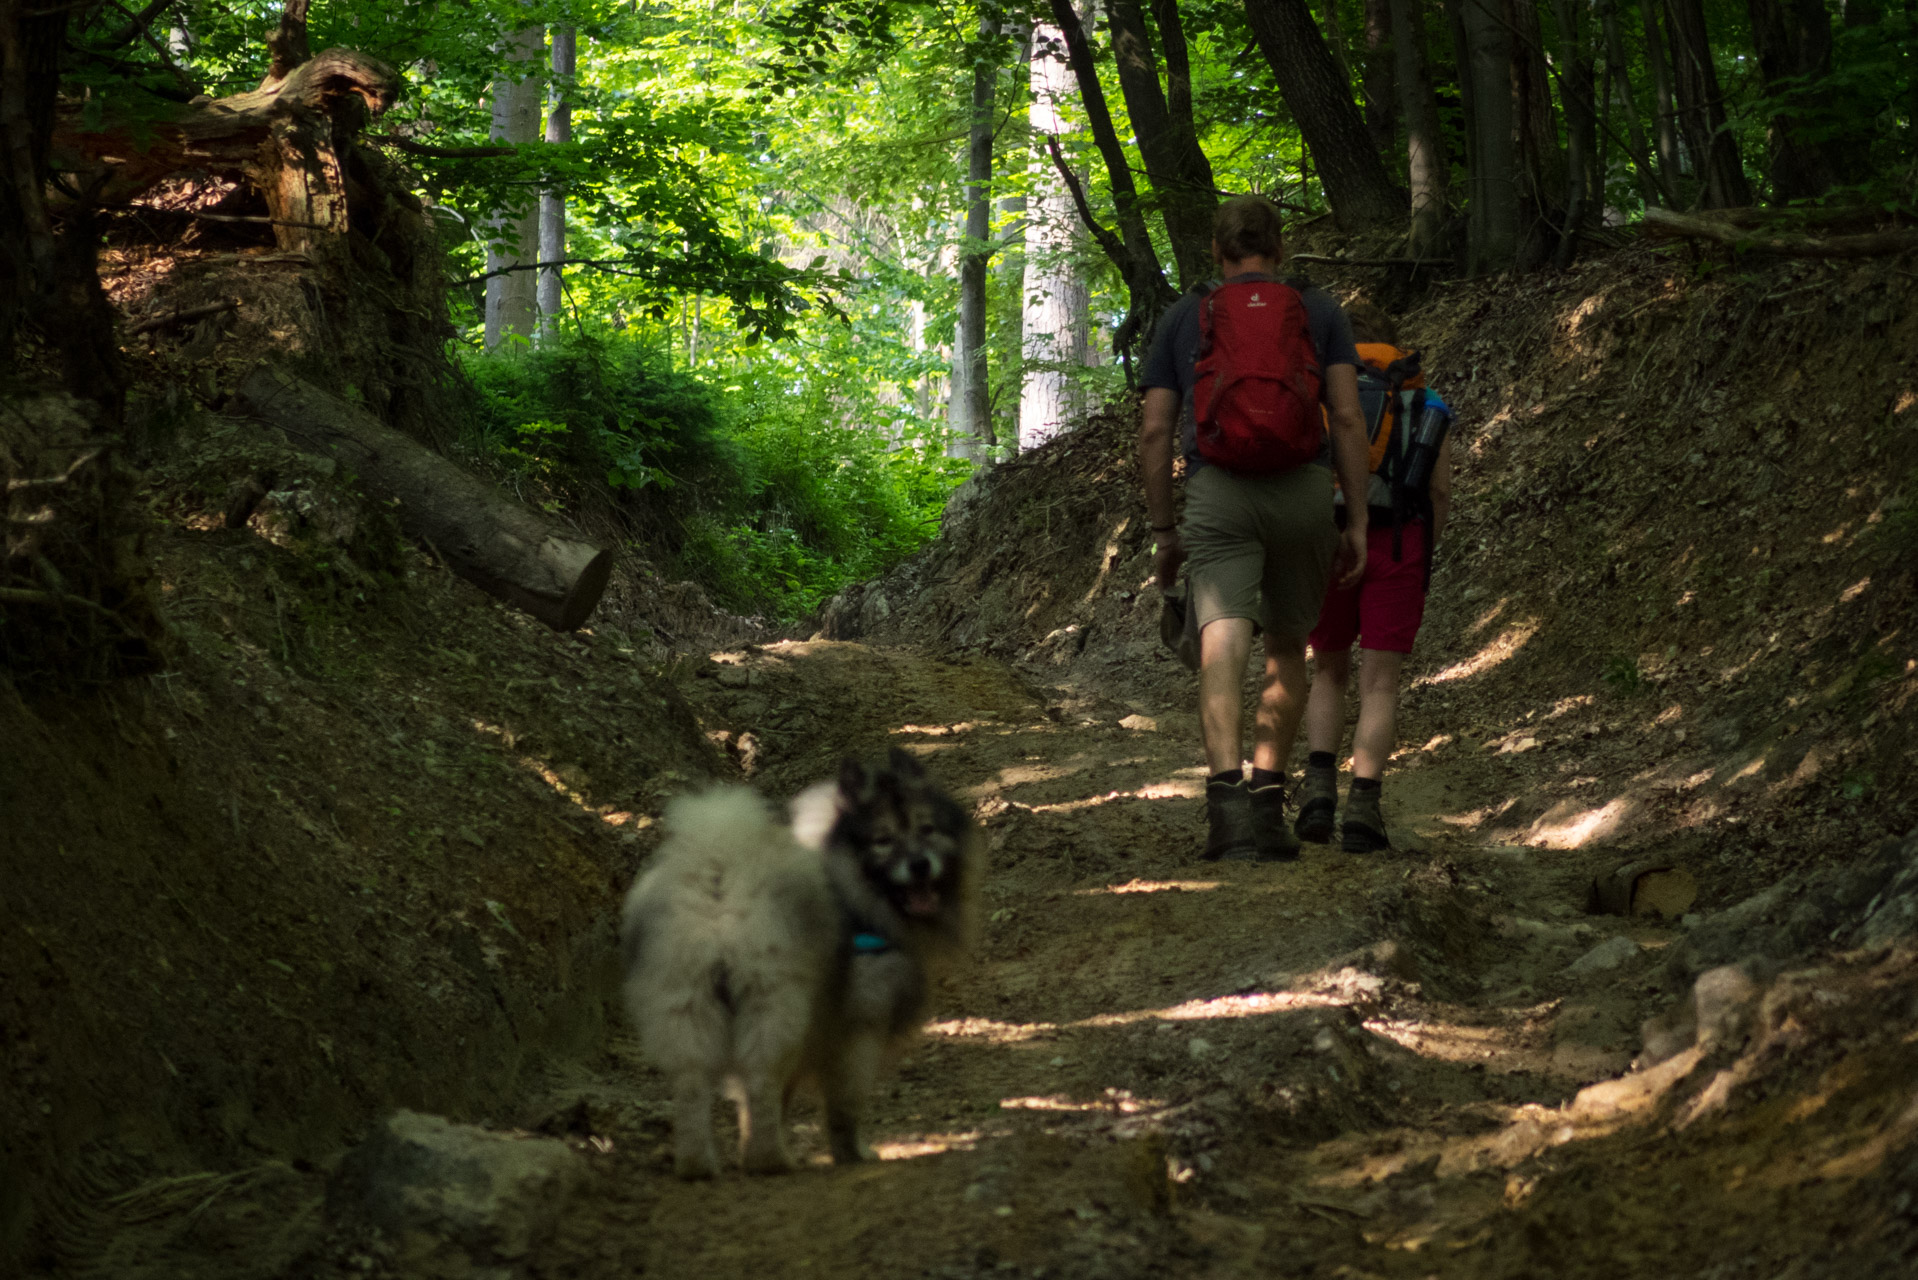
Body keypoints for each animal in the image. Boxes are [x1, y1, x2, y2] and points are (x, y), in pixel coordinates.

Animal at [621, 752, 982, 1182]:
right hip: (775, 1006)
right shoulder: (858, 1031)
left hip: (690, 1006)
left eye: (927, 830)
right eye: (883, 840)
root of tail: (719, 879)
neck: (854, 891)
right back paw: (771, 1160)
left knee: (693, 1088)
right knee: (760, 1080)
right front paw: (852, 1153)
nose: (920, 865)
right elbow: (843, 1106)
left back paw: (698, 1165)